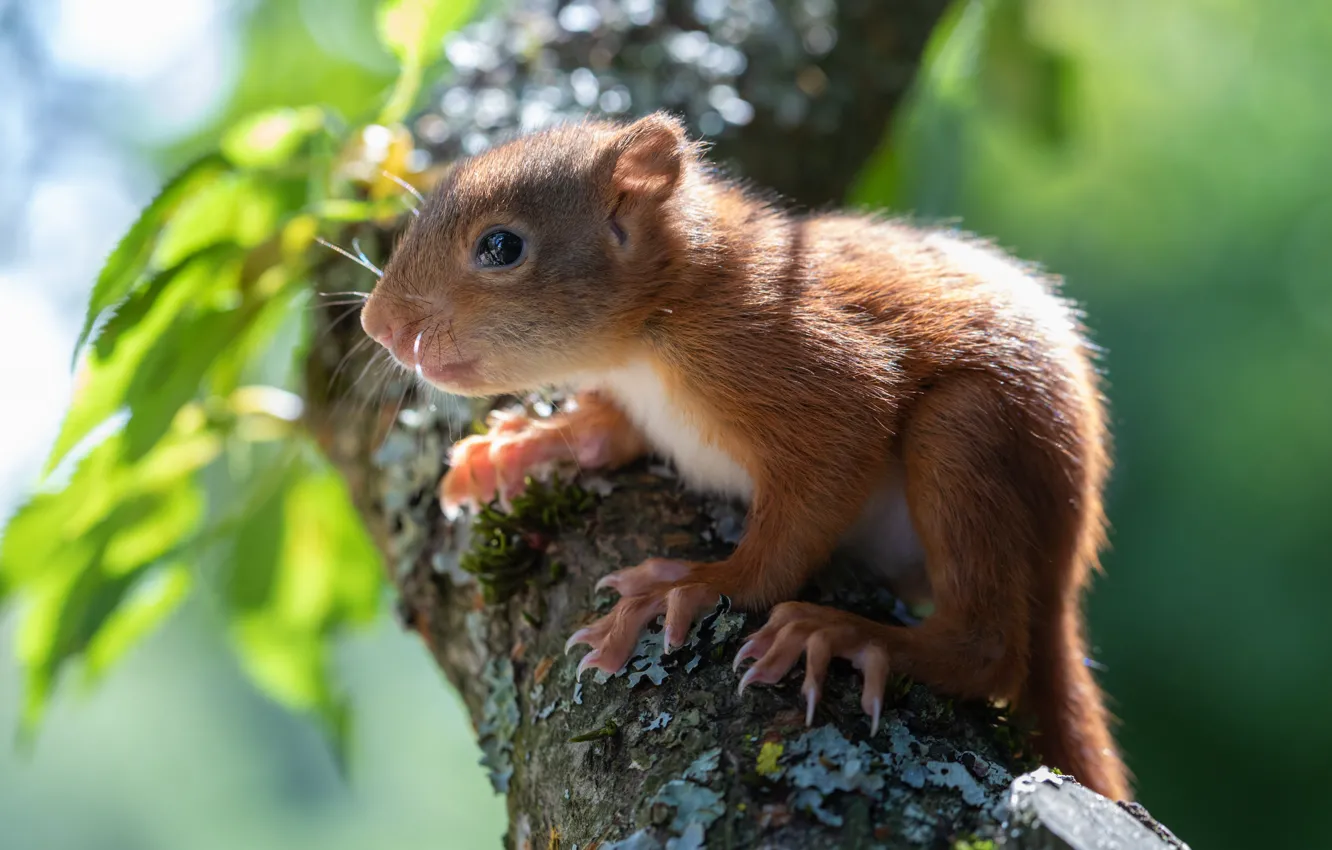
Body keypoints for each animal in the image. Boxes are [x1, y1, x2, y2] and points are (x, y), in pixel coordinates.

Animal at [358, 112, 1130, 800]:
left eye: (500, 247)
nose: (376, 325)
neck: (655, 323)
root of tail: (1068, 558)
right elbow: (609, 433)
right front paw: (524, 443)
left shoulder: (790, 355)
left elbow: (816, 486)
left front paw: (695, 585)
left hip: (968, 436)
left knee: (990, 650)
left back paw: (852, 637)